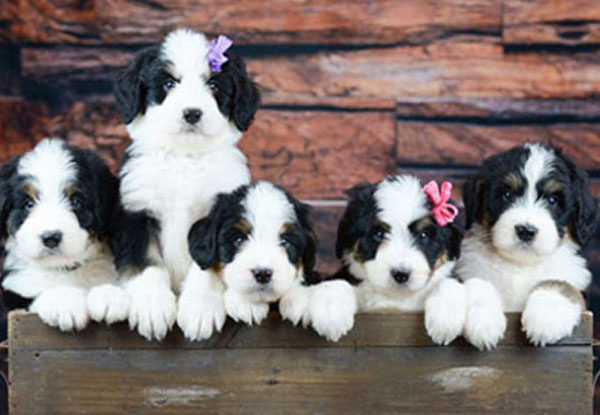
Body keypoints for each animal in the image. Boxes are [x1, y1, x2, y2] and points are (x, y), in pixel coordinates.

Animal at [0, 139, 129, 332]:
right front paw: (65, 302)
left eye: (76, 201)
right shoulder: (16, 292)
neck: (65, 270)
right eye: (28, 204)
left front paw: (109, 296)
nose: (51, 237)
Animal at [112, 29, 260, 342]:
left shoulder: (216, 217)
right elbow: (148, 264)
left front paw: (200, 311)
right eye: (169, 83)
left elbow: (205, 267)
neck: (184, 158)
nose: (192, 113)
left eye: (213, 84)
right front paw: (152, 308)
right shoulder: (137, 212)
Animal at [178, 181, 356, 342]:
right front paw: (201, 308)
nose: (263, 274)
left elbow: (334, 284)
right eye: (238, 239)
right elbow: (203, 271)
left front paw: (331, 313)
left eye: (285, 242)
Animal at [458, 143, 596, 348]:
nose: (525, 230)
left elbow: (561, 284)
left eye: (553, 200)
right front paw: (483, 321)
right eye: (507, 195)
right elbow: (478, 282)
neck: (520, 265)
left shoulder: (574, 281)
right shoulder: (469, 270)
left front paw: (546, 317)